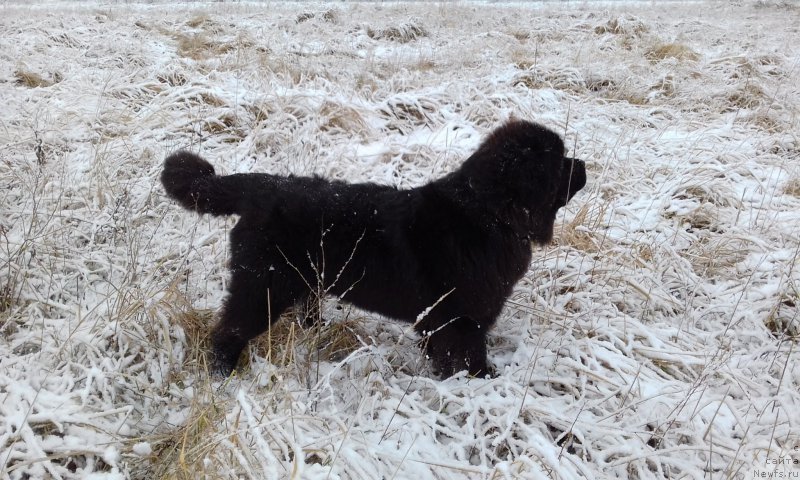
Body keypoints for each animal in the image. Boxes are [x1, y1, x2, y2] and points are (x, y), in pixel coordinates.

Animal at [164, 118, 588, 376]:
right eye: (558, 163)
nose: (583, 164)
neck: (488, 214)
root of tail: (260, 187)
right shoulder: (458, 319)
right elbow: (466, 354)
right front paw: (480, 382)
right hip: (262, 286)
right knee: (230, 329)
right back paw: (223, 373)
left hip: (300, 280)